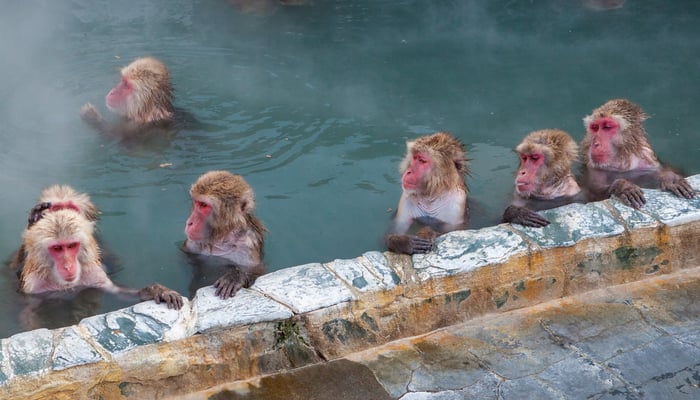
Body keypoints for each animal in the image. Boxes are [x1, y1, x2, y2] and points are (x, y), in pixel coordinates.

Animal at [15, 209, 183, 309]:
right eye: (57, 248)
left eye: (71, 246)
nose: (68, 266)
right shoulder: (34, 286)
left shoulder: (93, 273)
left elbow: (117, 292)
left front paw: (156, 291)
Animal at [183, 171, 266, 299]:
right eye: (196, 202)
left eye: (203, 205)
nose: (189, 223)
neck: (221, 238)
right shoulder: (193, 242)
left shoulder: (248, 246)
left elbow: (257, 272)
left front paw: (236, 277)